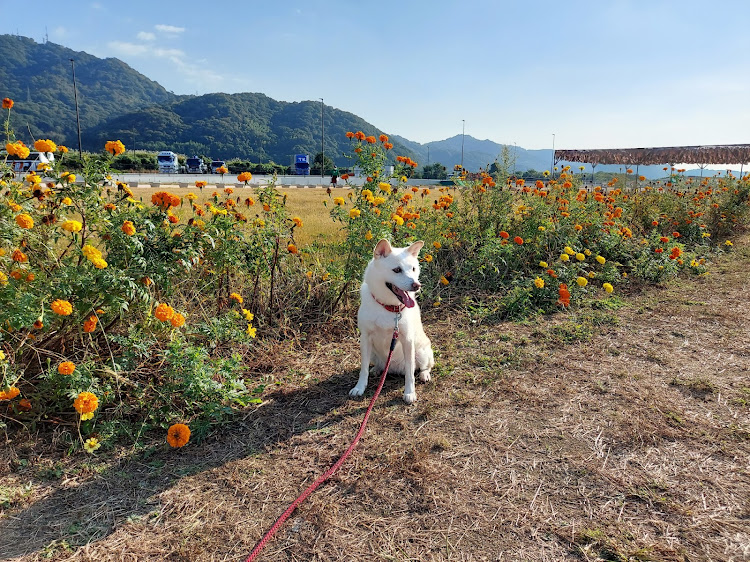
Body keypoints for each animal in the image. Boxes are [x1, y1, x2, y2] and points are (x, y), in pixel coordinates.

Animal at [352, 237, 434, 402]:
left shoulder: (407, 340)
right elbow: (363, 369)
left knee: (425, 366)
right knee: (377, 364)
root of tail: (394, 368)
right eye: (397, 270)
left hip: (422, 352)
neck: (389, 306)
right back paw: (377, 369)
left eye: (414, 269)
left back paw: (424, 374)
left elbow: (410, 372)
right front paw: (359, 387)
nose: (417, 285)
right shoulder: (365, 338)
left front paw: (409, 392)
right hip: (373, 352)